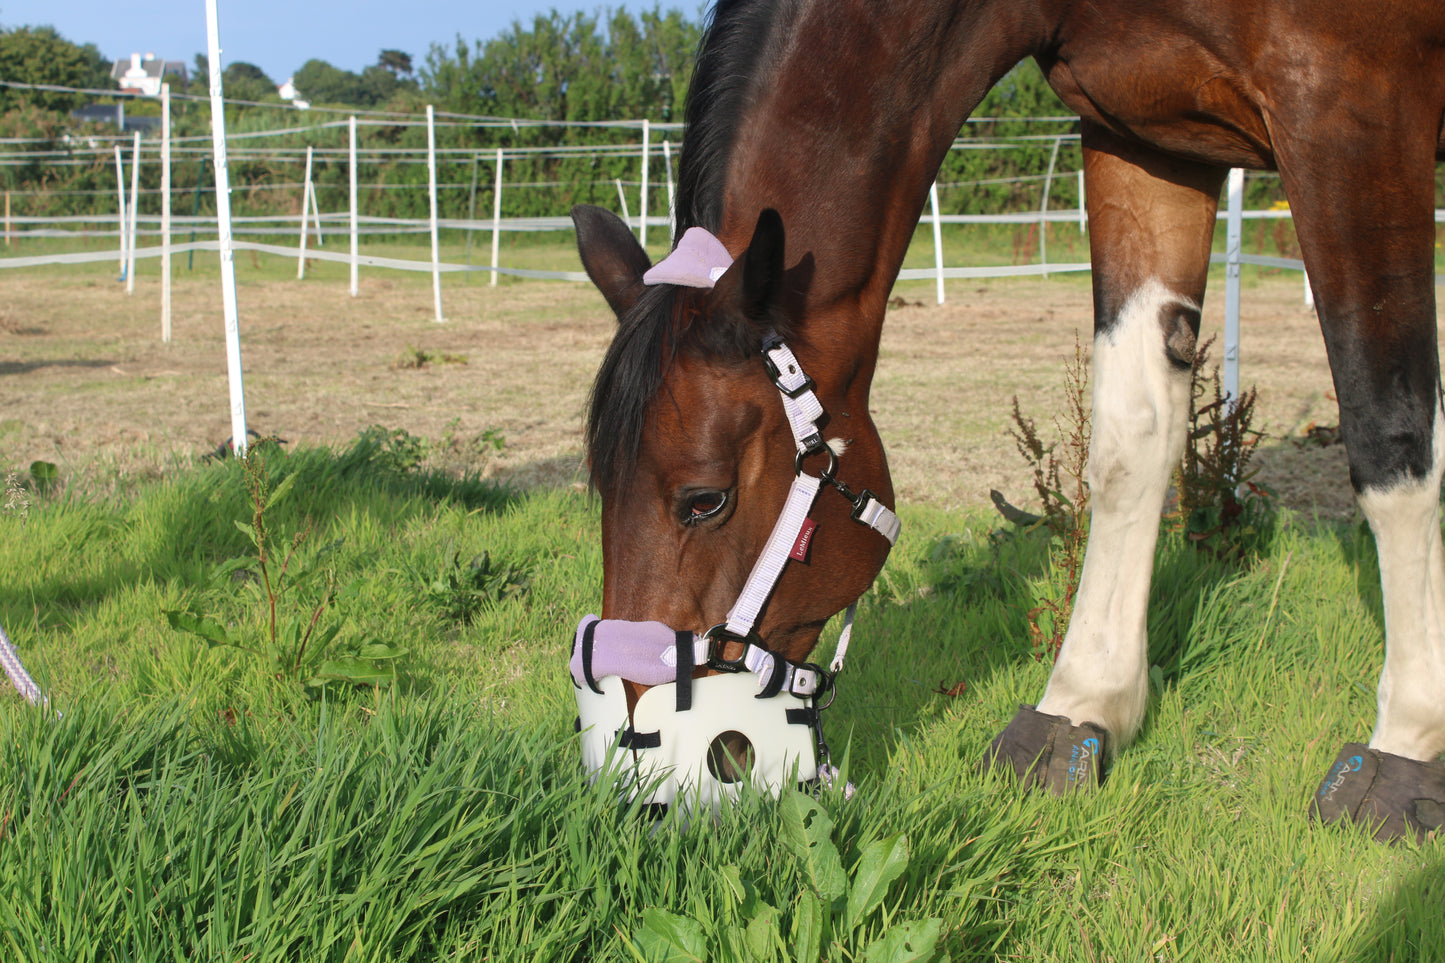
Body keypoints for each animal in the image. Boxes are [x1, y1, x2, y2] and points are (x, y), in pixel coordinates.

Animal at [570, 0, 1445, 839]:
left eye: (704, 500)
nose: (641, 766)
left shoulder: (1351, 109)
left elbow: (1389, 429)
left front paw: (1408, 741)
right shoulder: (1144, 143)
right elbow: (1129, 438)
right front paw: (1082, 701)